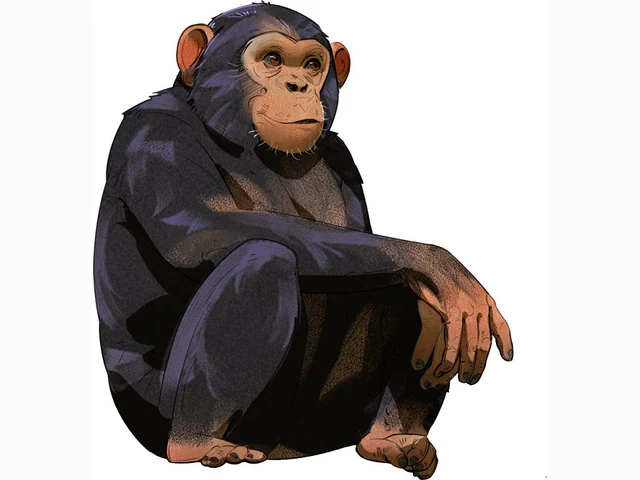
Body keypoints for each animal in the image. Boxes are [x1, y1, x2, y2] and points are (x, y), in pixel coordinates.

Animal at [94, 4, 514, 478]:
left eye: (312, 65)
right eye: (273, 60)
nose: (298, 84)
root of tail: (284, 453)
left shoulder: (342, 156)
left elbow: (371, 255)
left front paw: (439, 289)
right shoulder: (156, 135)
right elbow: (201, 228)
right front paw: (439, 264)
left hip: (327, 422)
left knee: (402, 289)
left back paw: (393, 436)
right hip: (157, 415)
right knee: (264, 259)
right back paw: (199, 442)